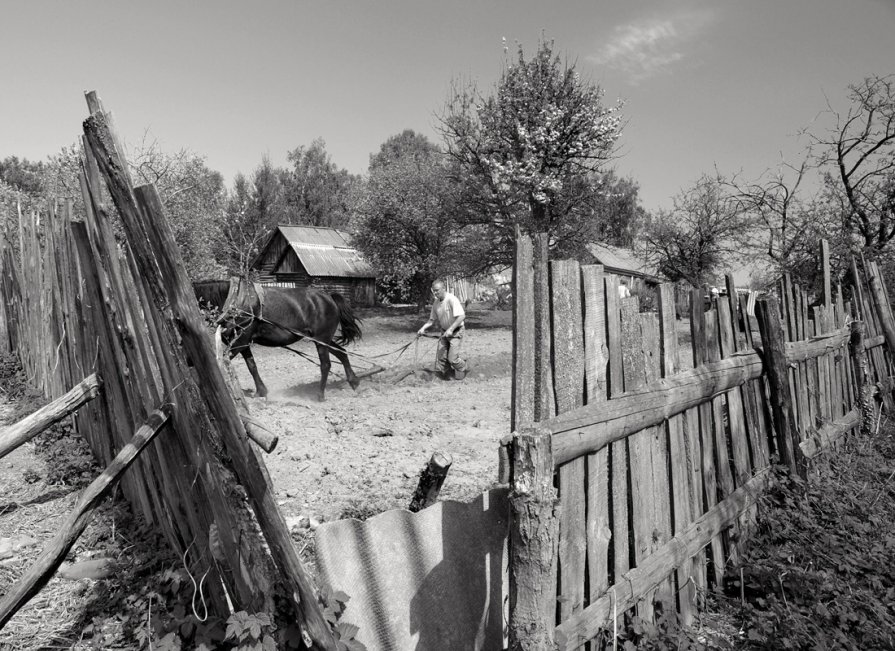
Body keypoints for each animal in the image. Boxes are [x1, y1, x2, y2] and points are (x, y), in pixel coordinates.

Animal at [195, 280, 364, 402]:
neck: (236, 303)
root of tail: (329, 297)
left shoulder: (240, 341)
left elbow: (223, 362)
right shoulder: (243, 343)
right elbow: (252, 366)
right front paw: (261, 391)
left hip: (321, 339)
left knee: (326, 365)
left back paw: (320, 395)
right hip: (324, 339)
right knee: (342, 353)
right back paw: (353, 381)